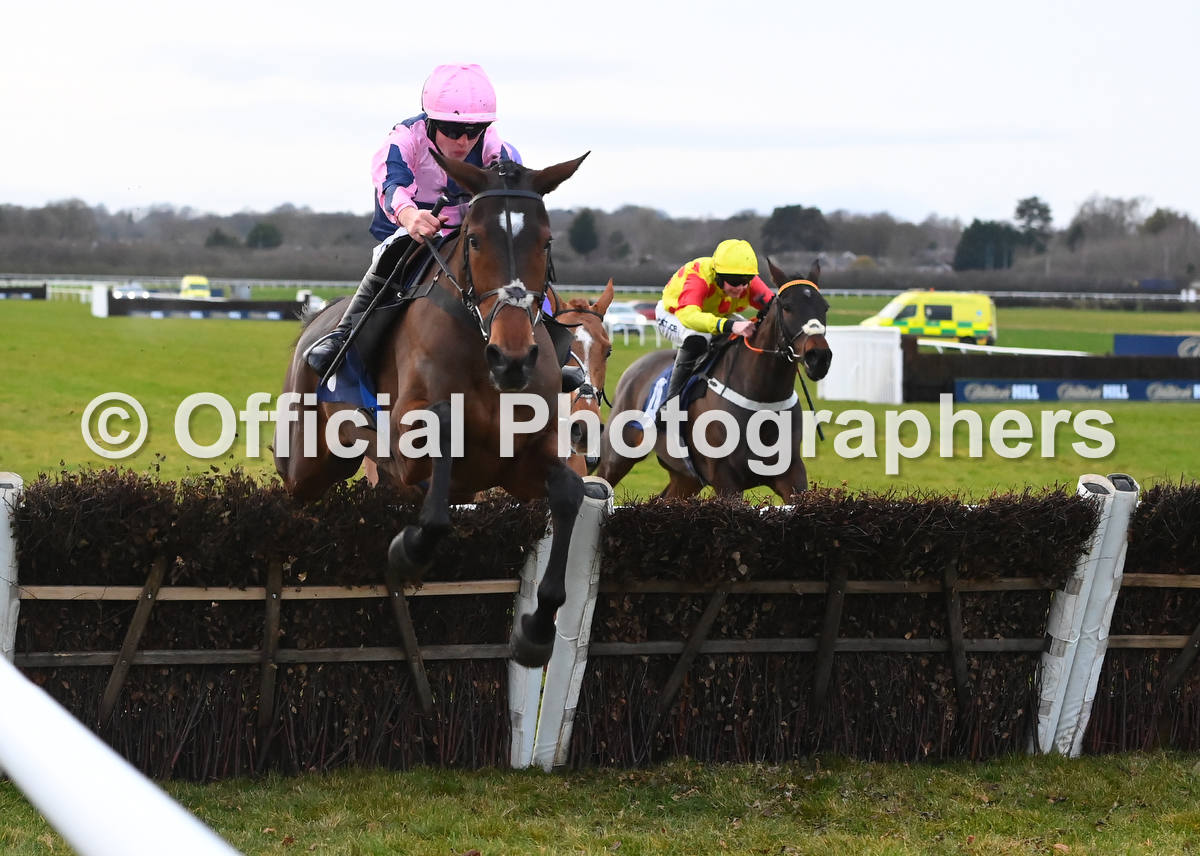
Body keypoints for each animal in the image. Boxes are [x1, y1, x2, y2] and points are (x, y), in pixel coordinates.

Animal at [273, 150, 590, 662]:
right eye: (475, 239)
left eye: (546, 243)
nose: (513, 359)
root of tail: (316, 319)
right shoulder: (407, 447)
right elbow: (440, 429)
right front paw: (409, 549)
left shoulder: (521, 465)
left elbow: (567, 491)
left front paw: (537, 630)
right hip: (306, 464)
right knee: (295, 495)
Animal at [592, 260, 835, 501]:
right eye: (787, 306)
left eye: (824, 306)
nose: (819, 357)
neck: (763, 399)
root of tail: (633, 369)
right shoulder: (725, 480)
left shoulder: (791, 474)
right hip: (618, 455)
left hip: (686, 477)